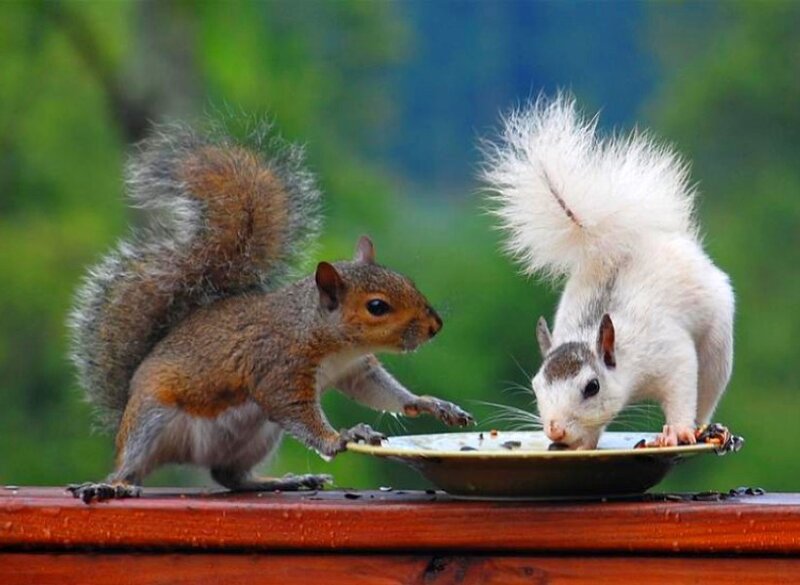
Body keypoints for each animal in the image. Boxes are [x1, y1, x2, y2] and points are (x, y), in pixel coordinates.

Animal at [67, 119, 473, 503]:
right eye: (377, 306)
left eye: (408, 281)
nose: (435, 325)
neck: (327, 339)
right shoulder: (278, 368)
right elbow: (296, 411)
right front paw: (341, 438)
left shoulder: (356, 370)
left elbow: (380, 392)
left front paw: (429, 403)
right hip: (150, 419)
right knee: (131, 468)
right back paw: (114, 486)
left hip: (258, 437)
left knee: (230, 476)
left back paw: (285, 481)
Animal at [482, 94, 734, 450]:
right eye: (535, 385)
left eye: (592, 387)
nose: (554, 430)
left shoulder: (670, 354)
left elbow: (682, 391)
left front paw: (676, 431)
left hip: (717, 347)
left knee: (707, 391)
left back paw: (704, 429)